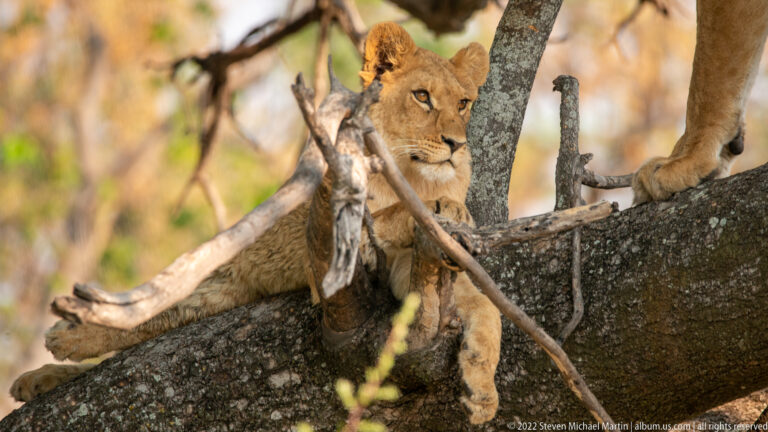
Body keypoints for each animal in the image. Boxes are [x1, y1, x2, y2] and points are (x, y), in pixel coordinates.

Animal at [10, 22, 502, 424]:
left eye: (464, 102)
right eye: (422, 96)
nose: (456, 144)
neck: (414, 173)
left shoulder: (406, 270)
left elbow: (484, 307)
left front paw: (481, 389)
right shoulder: (324, 240)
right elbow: (391, 214)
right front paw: (448, 209)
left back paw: (40, 375)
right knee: (143, 308)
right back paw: (62, 339)